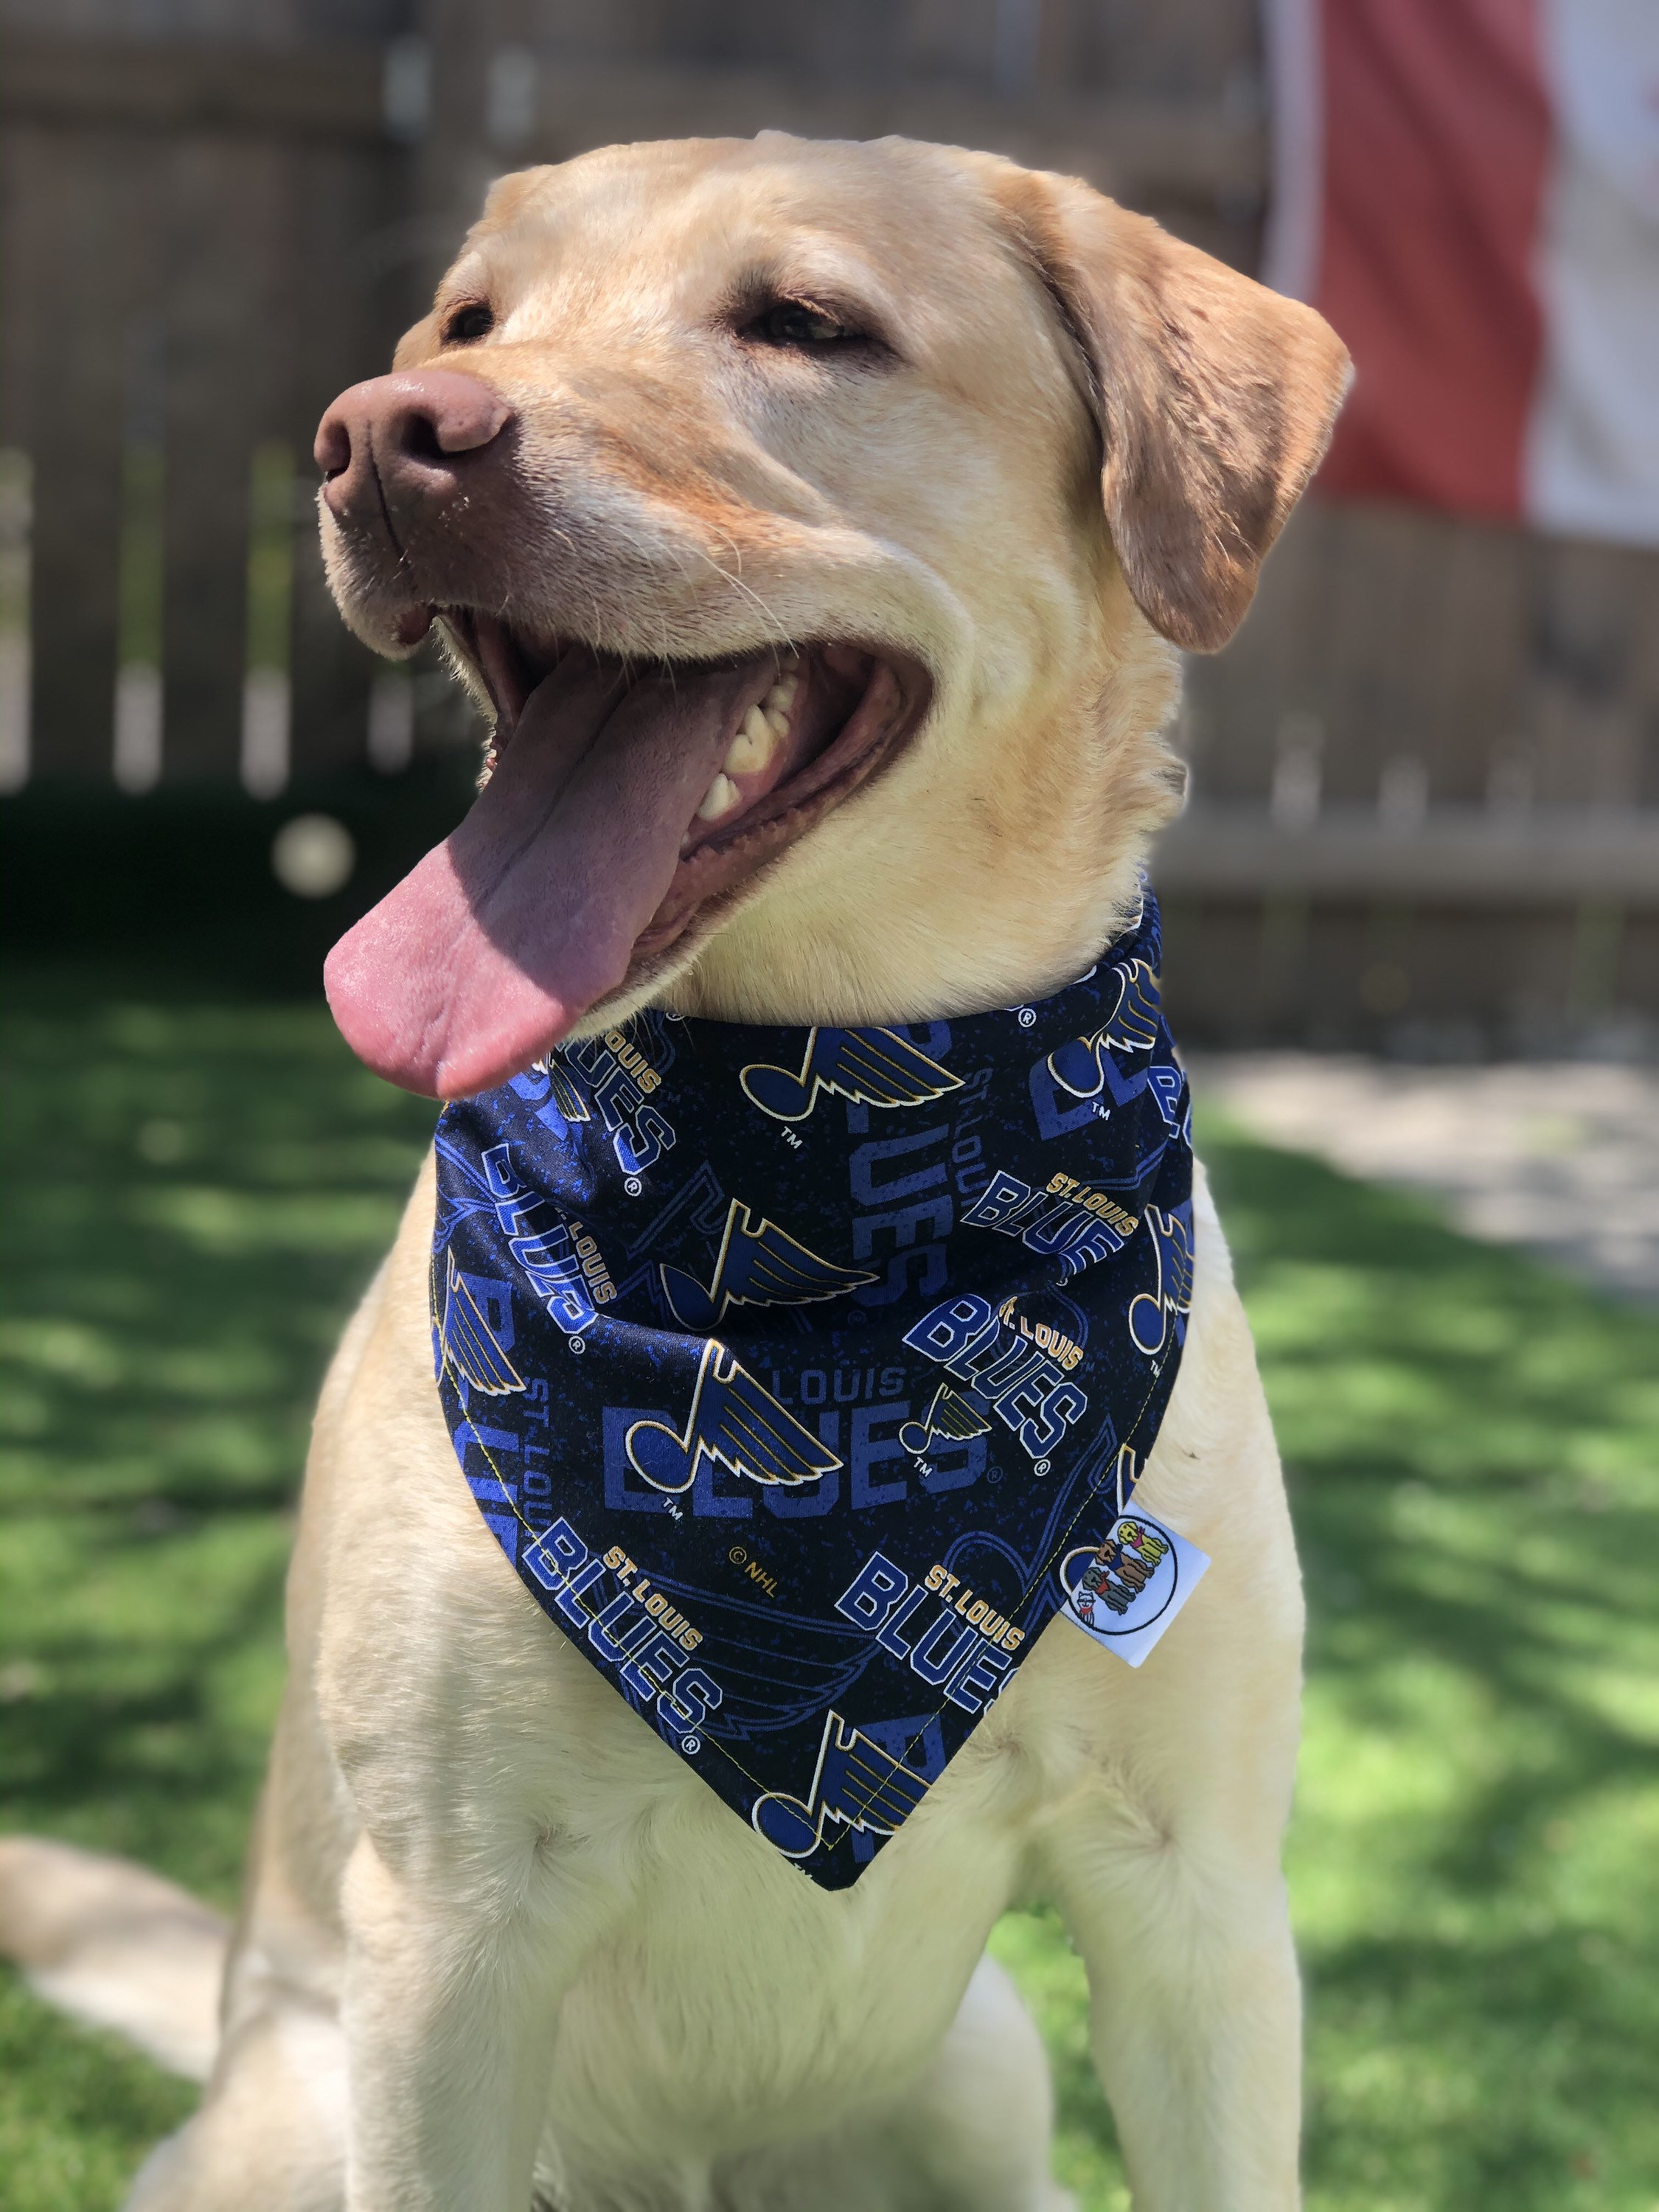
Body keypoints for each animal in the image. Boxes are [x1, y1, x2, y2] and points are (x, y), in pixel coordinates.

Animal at [0, 133, 1345, 2212]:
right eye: (471, 323)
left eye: (805, 323)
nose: (381, 438)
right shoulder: (447, 1941)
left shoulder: (1196, 1905)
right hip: (297, 2111)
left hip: (978, 2073)